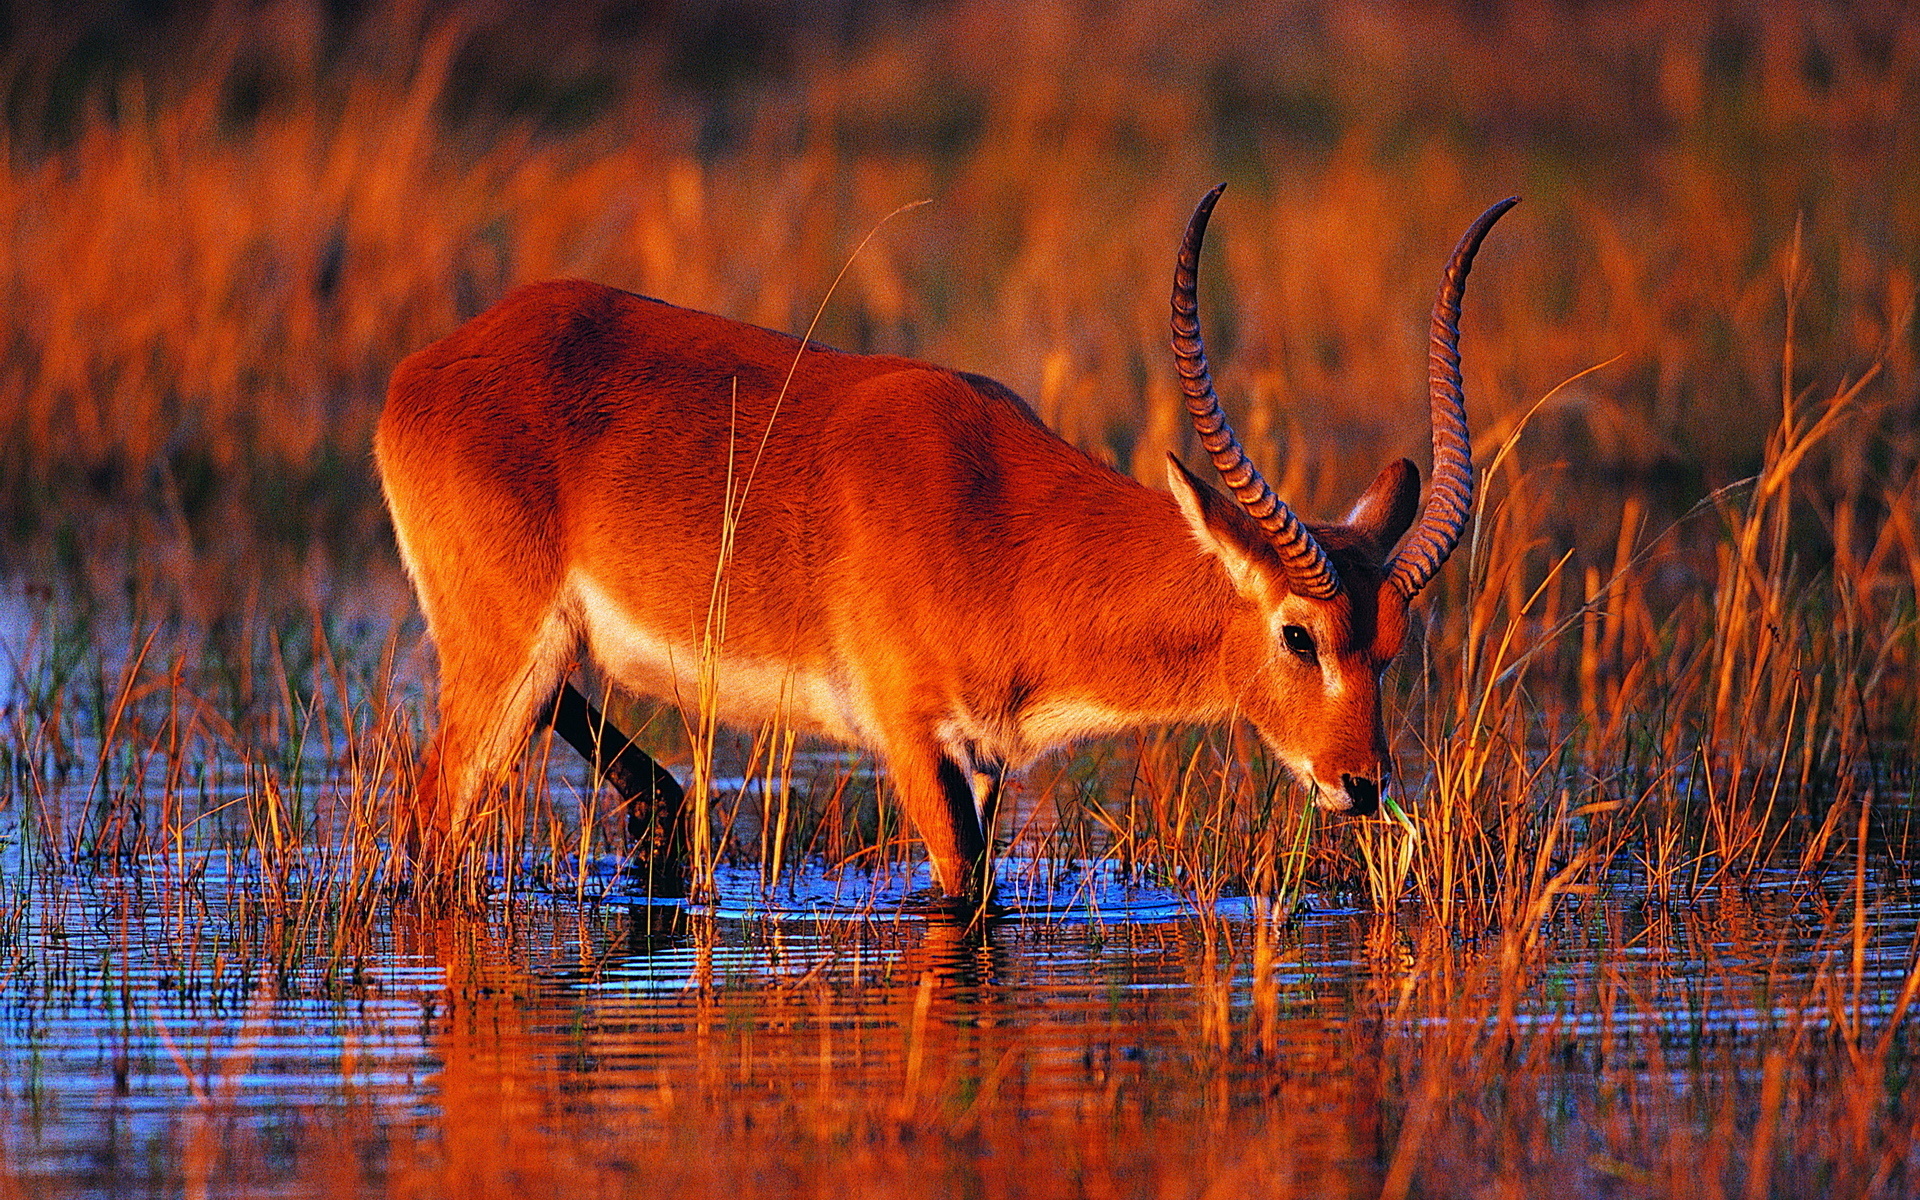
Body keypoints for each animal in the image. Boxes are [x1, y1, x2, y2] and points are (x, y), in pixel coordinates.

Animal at [376, 186, 1515, 899]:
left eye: (1391, 645)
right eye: (1299, 635)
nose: (1361, 783)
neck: (998, 522)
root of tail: (422, 370)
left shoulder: (984, 756)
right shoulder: (911, 738)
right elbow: (959, 890)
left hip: (540, 655)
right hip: (498, 658)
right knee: (428, 825)